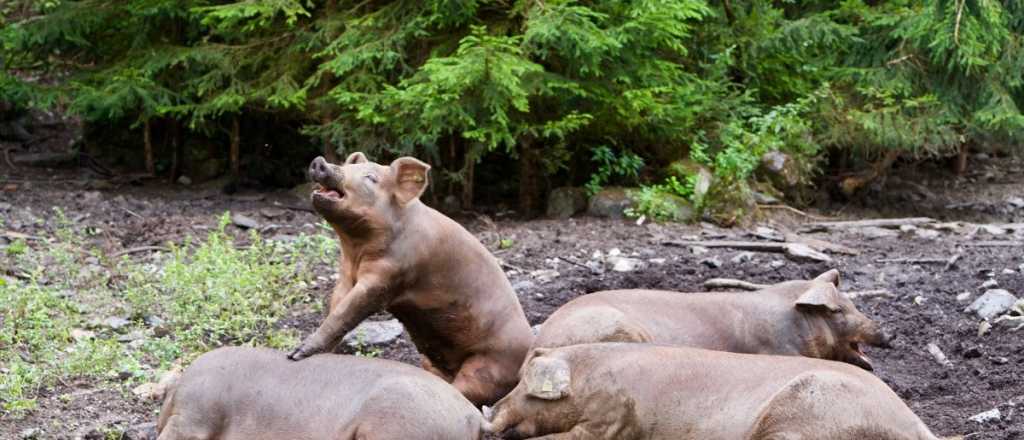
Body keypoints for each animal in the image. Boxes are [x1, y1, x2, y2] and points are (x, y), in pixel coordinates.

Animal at [284, 152, 532, 405]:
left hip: (489, 366)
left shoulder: (389, 275)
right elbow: (336, 307)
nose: (320, 161)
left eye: (371, 177)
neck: (355, 250)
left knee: (468, 390)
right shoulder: (345, 275)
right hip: (431, 361)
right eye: (347, 165)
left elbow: (347, 312)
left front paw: (294, 355)